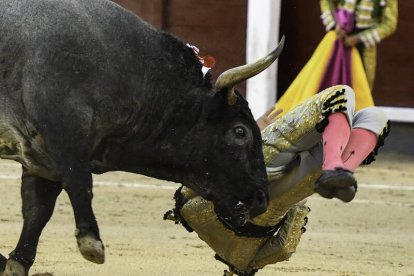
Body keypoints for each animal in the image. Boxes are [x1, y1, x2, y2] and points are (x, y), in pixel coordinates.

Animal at [0, 0, 284, 274]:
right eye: (240, 131)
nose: (261, 199)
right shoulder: (63, 129)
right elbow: (79, 181)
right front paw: (91, 243)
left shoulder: (40, 158)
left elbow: (38, 210)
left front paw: (16, 263)